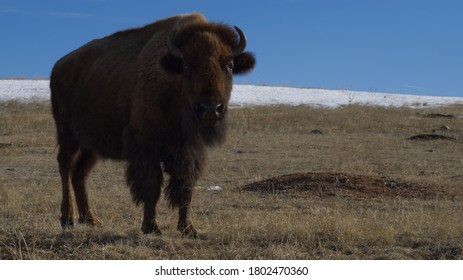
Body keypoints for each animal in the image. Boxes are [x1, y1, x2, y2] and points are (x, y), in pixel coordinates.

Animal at [50, 13, 258, 236]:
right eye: (187, 66)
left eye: (229, 65)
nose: (211, 108)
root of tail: (59, 66)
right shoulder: (145, 145)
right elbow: (151, 186)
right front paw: (151, 227)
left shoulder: (190, 150)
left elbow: (185, 187)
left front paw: (188, 228)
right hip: (68, 134)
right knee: (65, 166)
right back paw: (68, 218)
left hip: (92, 146)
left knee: (80, 174)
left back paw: (92, 219)